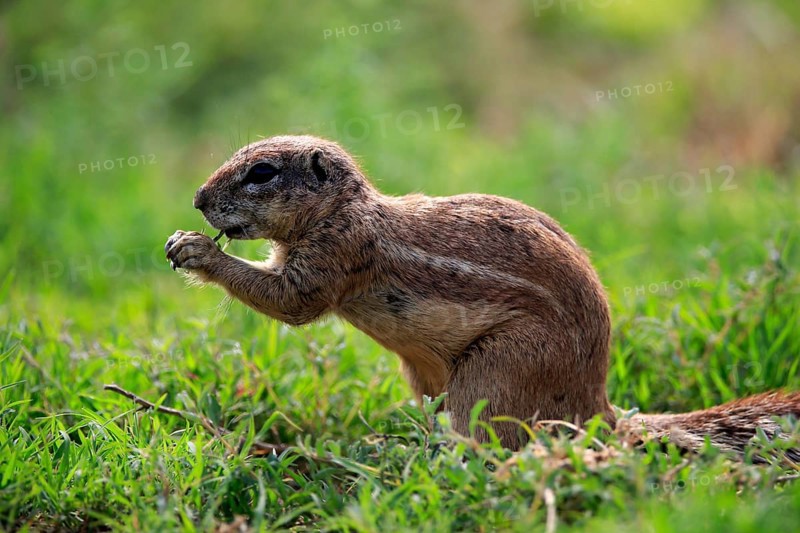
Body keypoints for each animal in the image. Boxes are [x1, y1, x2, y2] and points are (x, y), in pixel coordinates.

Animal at [165, 135, 800, 455]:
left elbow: (292, 303)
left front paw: (196, 251)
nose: (196, 199)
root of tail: (596, 405)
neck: (344, 209)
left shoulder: (334, 256)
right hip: (425, 376)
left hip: (495, 374)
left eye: (262, 173)